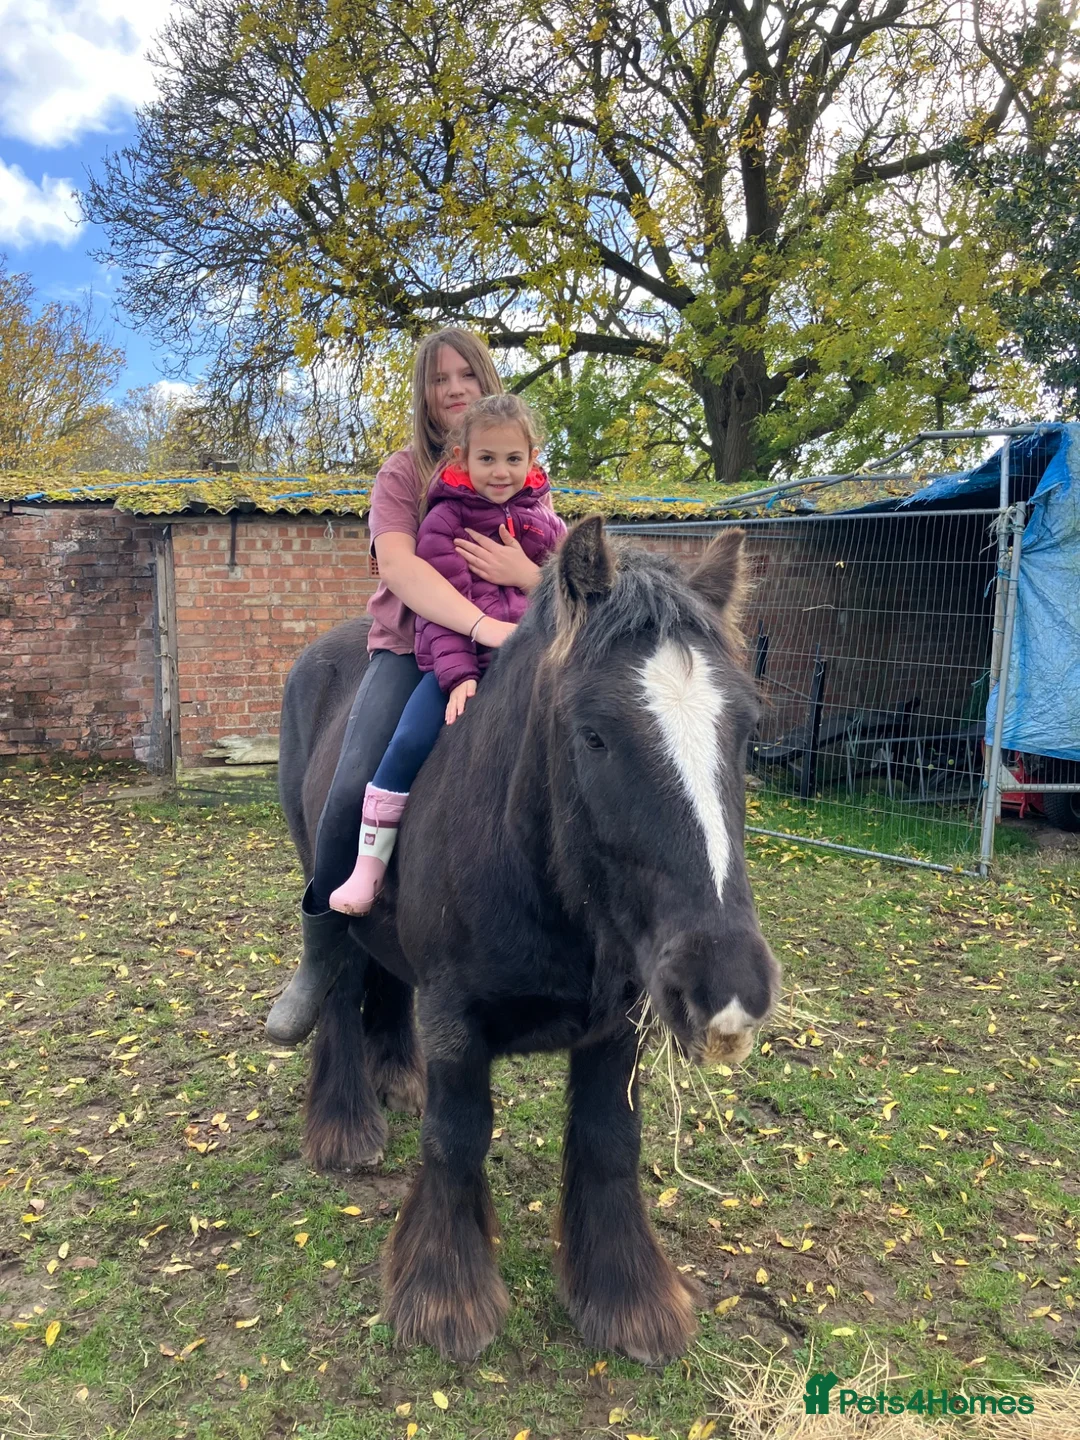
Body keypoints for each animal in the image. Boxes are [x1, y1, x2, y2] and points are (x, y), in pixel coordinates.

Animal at [277, 517, 780, 1364]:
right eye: (595, 736)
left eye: (746, 731)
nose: (726, 984)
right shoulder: (455, 1020)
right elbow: (456, 1138)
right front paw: (446, 1299)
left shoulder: (619, 1023)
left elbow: (611, 1140)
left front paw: (626, 1300)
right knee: (339, 982)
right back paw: (346, 1125)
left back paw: (396, 1075)